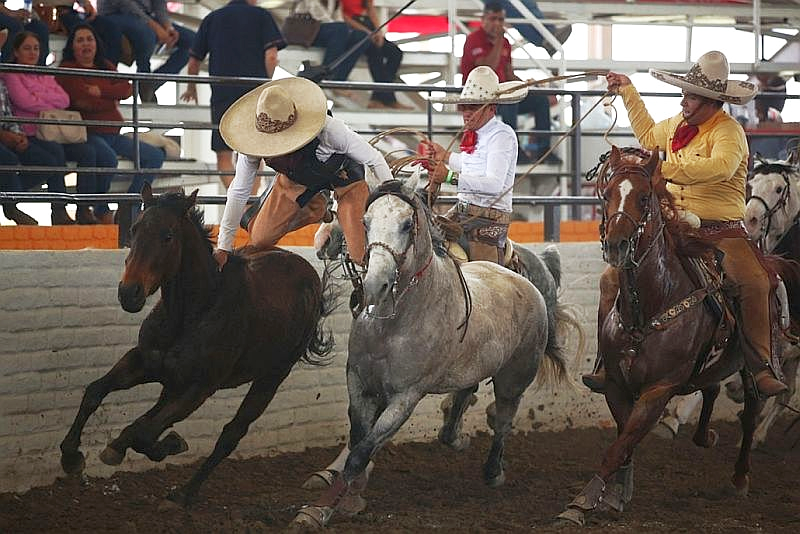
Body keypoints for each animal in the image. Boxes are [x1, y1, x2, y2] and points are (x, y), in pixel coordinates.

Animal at [59, 186, 332, 508]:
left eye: (168, 236)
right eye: (135, 229)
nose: (129, 293)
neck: (194, 310)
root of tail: (311, 279)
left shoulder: (199, 388)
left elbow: (145, 433)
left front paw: (170, 444)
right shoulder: (144, 361)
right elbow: (96, 392)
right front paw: (71, 456)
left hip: (271, 377)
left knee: (229, 434)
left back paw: (184, 493)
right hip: (175, 382)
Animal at [556, 147, 800, 528]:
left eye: (644, 197)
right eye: (607, 194)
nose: (616, 245)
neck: (652, 303)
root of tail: (771, 263)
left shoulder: (659, 389)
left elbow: (619, 445)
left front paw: (581, 502)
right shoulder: (615, 385)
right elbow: (624, 440)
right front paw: (617, 493)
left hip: (751, 363)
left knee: (751, 411)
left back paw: (740, 476)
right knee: (711, 388)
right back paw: (704, 436)